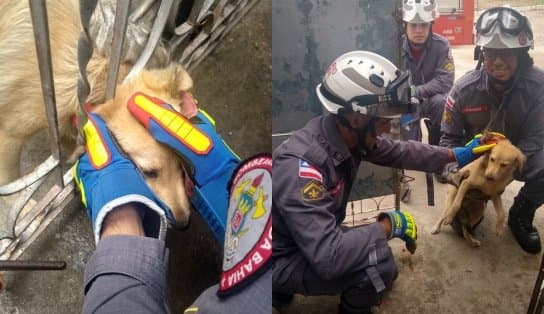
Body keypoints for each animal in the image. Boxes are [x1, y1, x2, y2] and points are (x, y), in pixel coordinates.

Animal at [0, 0, 192, 226]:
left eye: (183, 166)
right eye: (149, 173)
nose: (184, 223)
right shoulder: (9, 134)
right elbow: (11, 185)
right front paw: (27, 214)